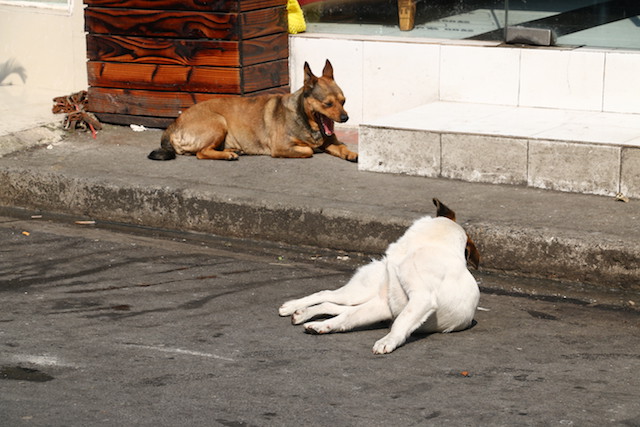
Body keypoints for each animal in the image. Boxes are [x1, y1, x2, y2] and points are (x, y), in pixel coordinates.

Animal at [148, 59, 358, 161]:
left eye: (344, 101)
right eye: (328, 104)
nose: (345, 118)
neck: (306, 119)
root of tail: (174, 125)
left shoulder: (330, 141)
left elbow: (341, 147)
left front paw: (352, 154)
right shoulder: (281, 147)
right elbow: (308, 150)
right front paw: (312, 148)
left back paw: (232, 150)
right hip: (218, 123)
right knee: (201, 152)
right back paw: (228, 155)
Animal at [280, 199, 480, 356]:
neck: (426, 244)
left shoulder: (411, 300)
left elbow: (397, 320)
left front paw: (388, 340)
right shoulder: (395, 301)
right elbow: (352, 316)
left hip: (369, 302)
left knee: (333, 305)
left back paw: (303, 314)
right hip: (359, 293)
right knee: (326, 294)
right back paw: (292, 306)